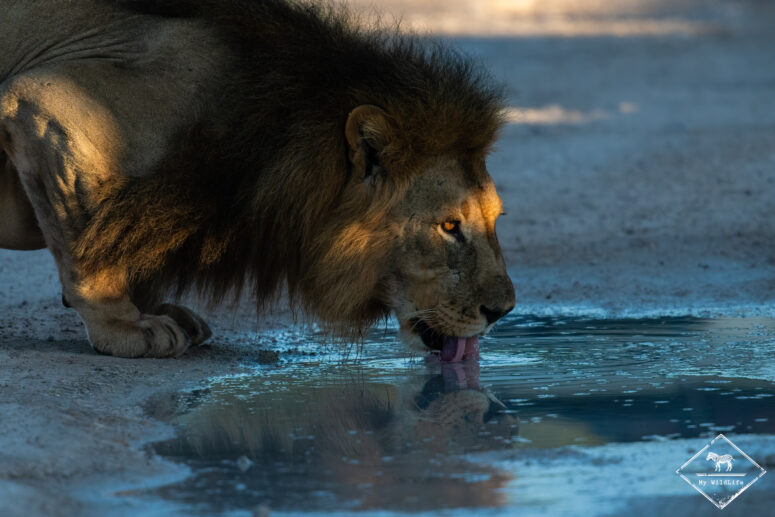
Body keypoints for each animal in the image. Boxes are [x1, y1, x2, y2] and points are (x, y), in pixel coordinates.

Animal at [0, 0, 515, 358]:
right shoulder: (48, 106)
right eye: (449, 227)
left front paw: (154, 307)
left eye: (496, 220)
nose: (503, 312)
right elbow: (87, 251)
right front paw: (126, 327)